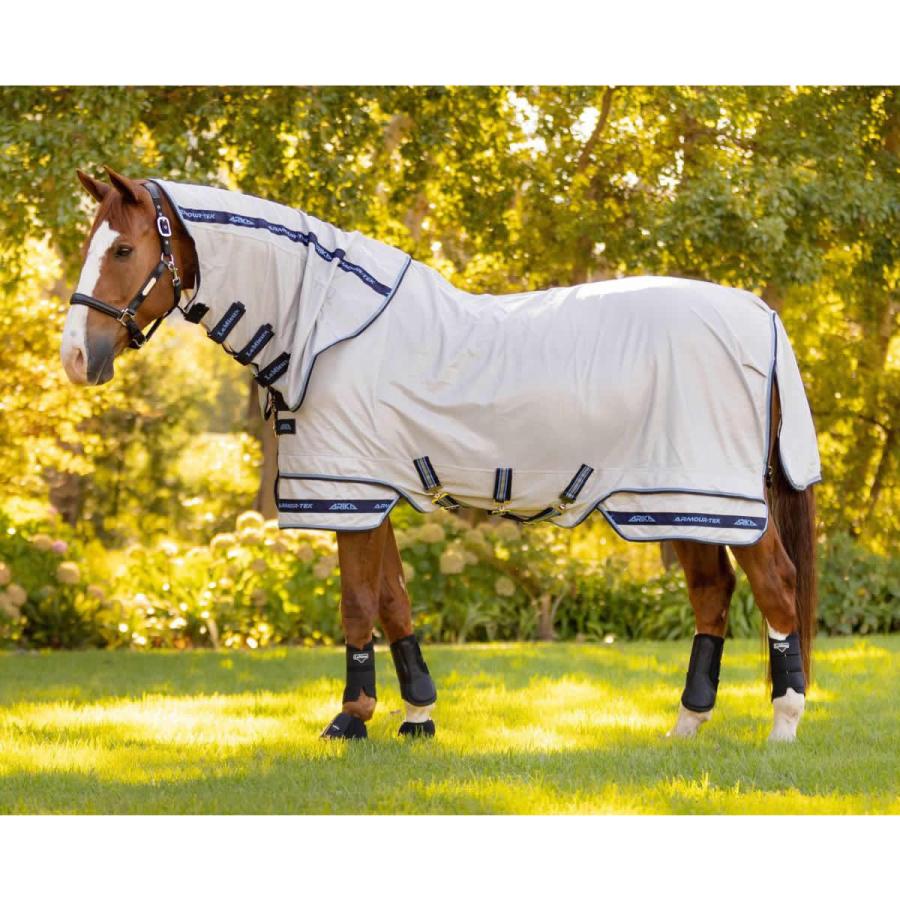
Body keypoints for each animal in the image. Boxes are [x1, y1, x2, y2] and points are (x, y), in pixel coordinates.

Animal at [60, 167, 820, 742]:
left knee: (775, 587)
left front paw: (351, 718)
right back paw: (687, 726)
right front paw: (417, 714)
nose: (76, 359)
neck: (326, 329)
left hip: (713, 498)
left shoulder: (349, 491)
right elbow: (394, 600)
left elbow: (357, 601)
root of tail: (759, 313)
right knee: (713, 595)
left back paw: (783, 723)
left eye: (123, 250)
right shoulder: (375, 494)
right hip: (671, 502)